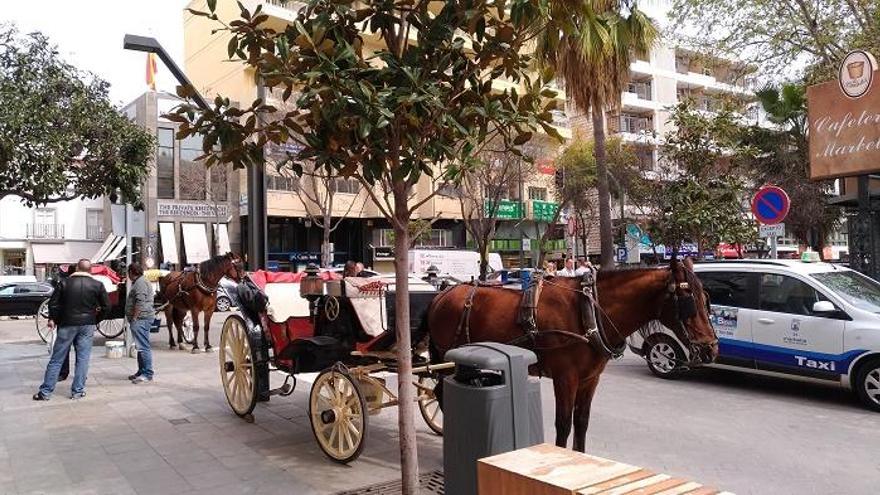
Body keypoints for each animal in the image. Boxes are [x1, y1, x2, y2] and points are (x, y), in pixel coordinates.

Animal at [422, 260, 720, 454]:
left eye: (706, 298)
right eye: (688, 300)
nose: (711, 349)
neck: (589, 311)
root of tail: (443, 294)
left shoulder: (590, 379)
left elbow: (582, 422)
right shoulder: (566, 378)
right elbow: (564, 424)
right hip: (448, 359)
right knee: (441, 392)